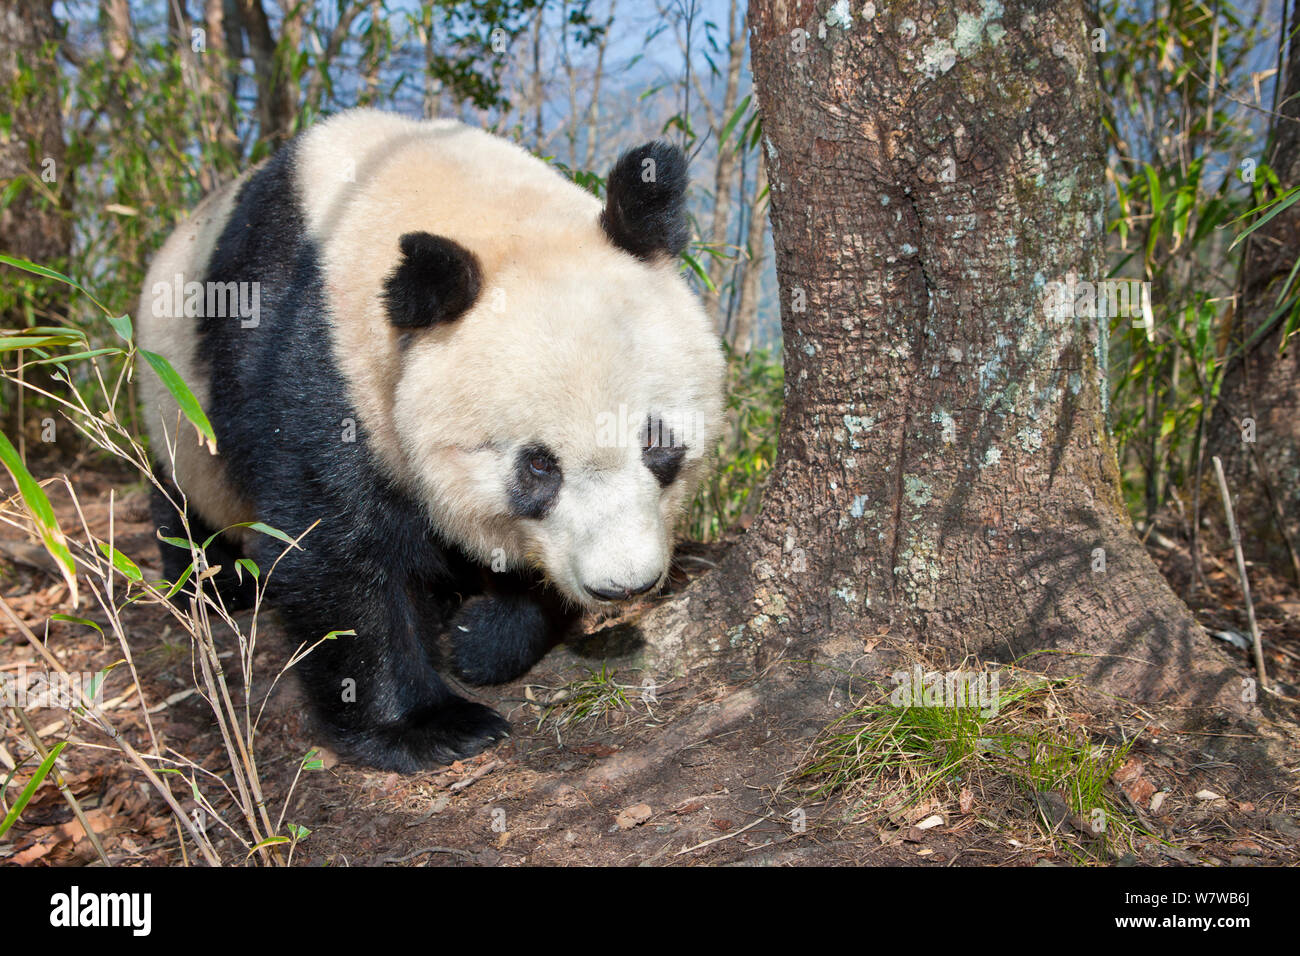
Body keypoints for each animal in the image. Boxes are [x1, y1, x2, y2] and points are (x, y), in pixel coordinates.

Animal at [142, 110, 733, 770]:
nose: (623, 584)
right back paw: (210, 584)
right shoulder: (314, 361)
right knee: (181, 498)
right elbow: (331, 544)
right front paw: (431, 725)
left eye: (658, 444)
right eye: (537, 466)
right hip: (173, 402)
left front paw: (484, 641)